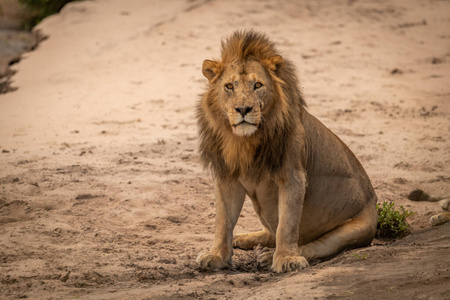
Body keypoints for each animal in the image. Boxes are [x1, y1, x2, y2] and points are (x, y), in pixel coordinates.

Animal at [195, 29, 378, 272]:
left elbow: (287, 224)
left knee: (312, 245)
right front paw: (216, 256)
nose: (243, 109)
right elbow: (223, 221)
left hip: (354, 229)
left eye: (258, 85)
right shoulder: (227, 176)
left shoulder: (293, 176)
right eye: (229, 86)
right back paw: (244, 239)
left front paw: (286, 259)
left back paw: (271, 255)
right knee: (270, 232)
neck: (245, 142)